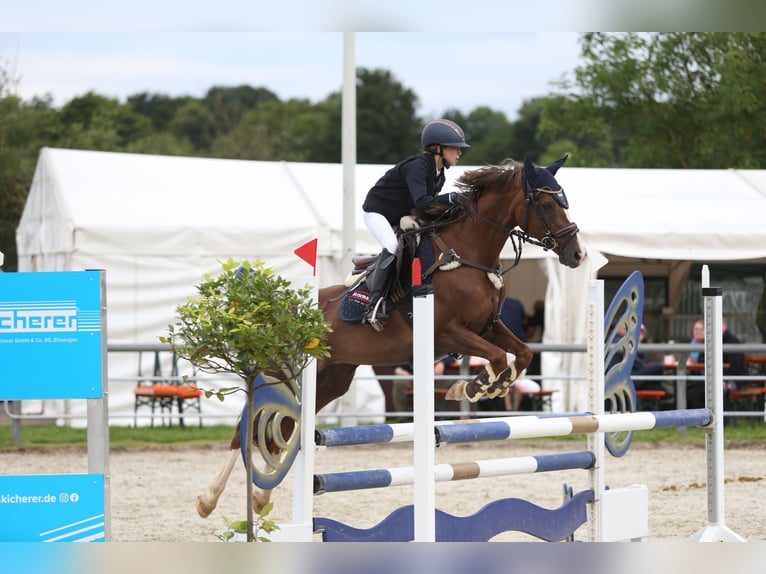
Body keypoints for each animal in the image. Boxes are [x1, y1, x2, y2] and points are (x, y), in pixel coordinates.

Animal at [196, 155, 588, 520]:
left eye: (565, 202)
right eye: (548, 204)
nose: (577, 254)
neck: (468, 254)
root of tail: (279, 314)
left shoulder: (487, 327)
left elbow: (521, 355)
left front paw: (491, 386)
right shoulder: (449, 332)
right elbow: (495, 357)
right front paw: (471, 388)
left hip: (332, 378)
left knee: (288, 426)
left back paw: (260, 498)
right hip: (284, 373)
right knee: (247, 426)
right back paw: (208, 499)